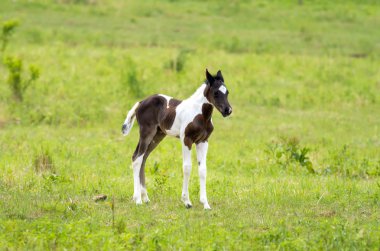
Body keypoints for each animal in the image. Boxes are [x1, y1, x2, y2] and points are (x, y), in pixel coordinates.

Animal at [121, 69, 232, 210]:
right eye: (216, 93)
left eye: (227, 92)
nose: (228, 110)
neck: (201, 115)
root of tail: (141, 102)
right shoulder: (186, 140)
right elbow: (187, 167)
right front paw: (186, 201)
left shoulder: (203, 141)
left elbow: (202, 170)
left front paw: (205, 204)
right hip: (146, 133)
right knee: (137, 159)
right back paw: (138, 199)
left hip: (157, 136)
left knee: (143, 158)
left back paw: (145, 198)